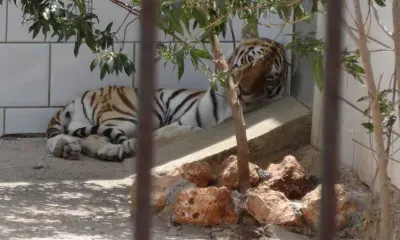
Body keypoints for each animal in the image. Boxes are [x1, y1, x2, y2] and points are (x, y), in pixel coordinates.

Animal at [45, 37, 288, 161]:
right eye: (248, 61)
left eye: (269, 76)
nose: (243, 90)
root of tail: (81, 96)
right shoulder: (181, 120)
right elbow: (165, 134)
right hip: (128, 118)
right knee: (91, 135)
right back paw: (105, 150)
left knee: (76, 135)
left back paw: (68, 148)